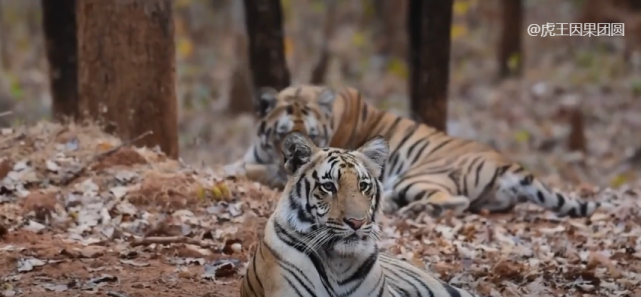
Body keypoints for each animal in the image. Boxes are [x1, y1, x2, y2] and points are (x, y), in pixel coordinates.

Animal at [225, 84, 608, 219]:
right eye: (285, 133)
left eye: (314, 132)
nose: (298, 154)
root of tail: (510, 164)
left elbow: (255, 172)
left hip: (417, 176)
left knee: (455, 201)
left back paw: (413, 209)